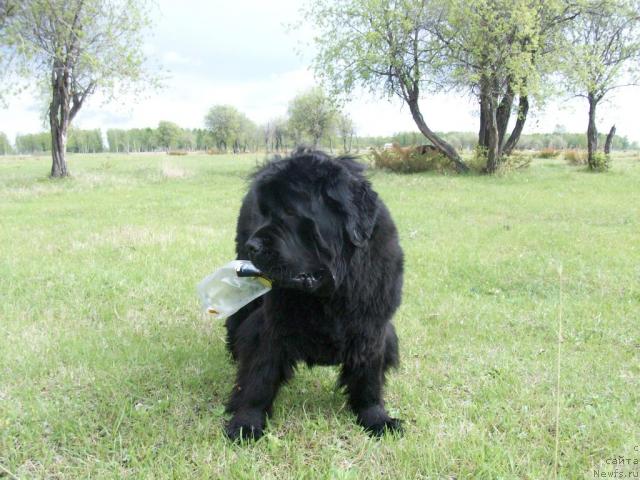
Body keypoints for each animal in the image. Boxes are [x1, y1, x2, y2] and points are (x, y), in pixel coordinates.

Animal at [225, 148, 402, 440]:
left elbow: (368, 377)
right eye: (264, 213)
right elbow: (259, 376)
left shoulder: (371, 326)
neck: (330, 293)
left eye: (289, 211)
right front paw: (246, 422)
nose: (253, 246)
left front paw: (375, 417)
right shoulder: (270, 326)